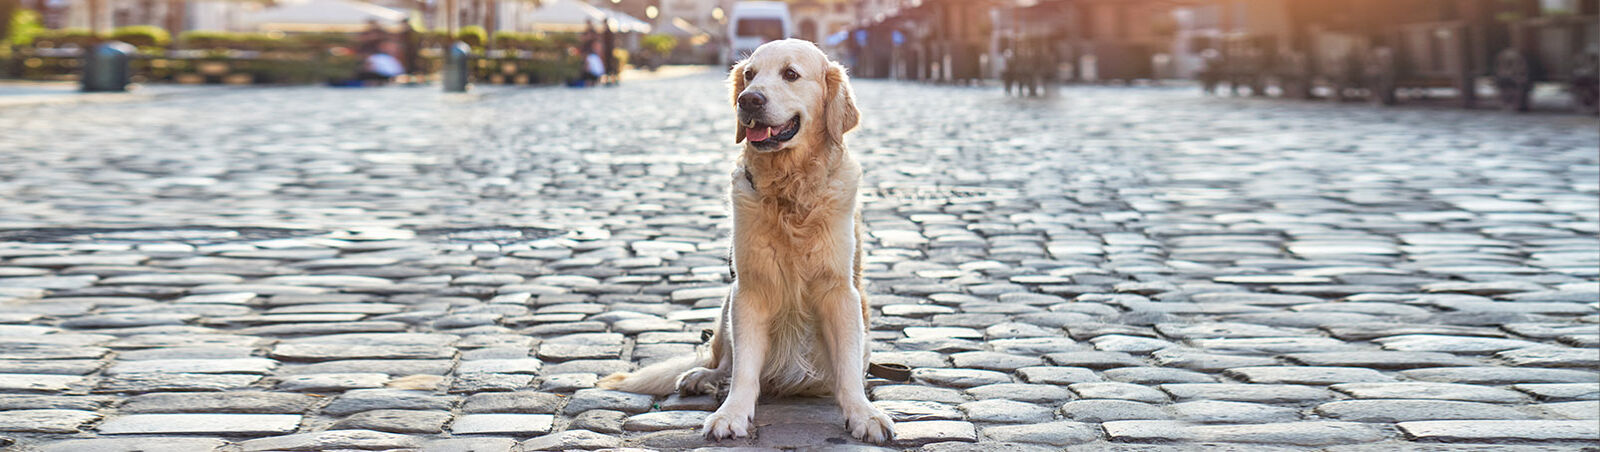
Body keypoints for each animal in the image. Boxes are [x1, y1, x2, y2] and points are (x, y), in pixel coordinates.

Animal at [601, 37, 902, 442]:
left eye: (790, 74)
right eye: (749, 75)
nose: (749, 100)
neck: (790, 191)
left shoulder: (839, 291)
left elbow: (849, 369)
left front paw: (863, 413)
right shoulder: (750, 289)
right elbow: (744, 368)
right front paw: (732, 413)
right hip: (728, 301)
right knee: (723, 361)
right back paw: (704, 377)